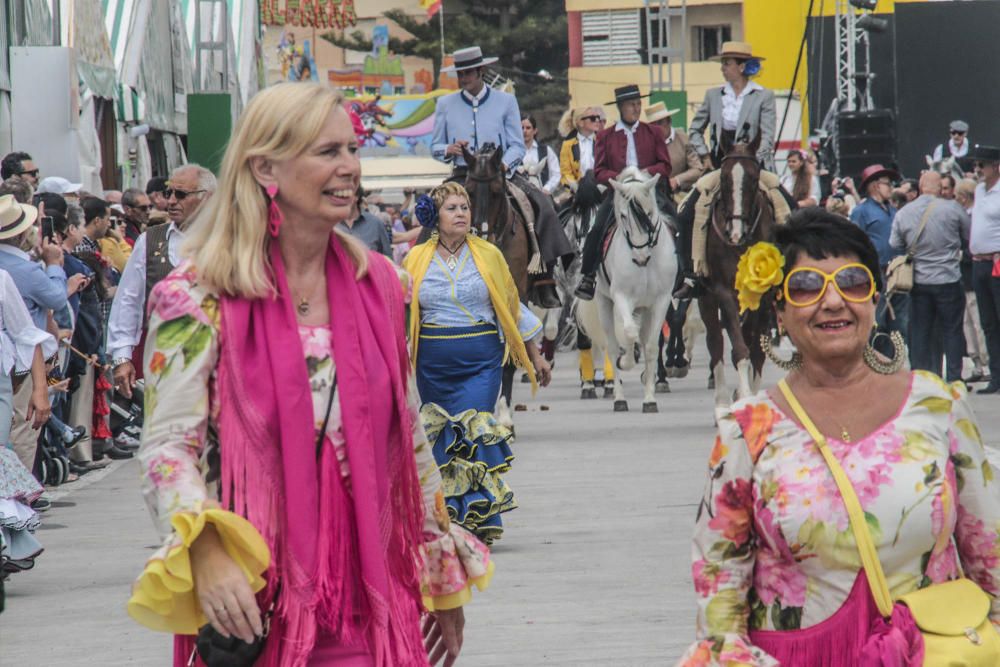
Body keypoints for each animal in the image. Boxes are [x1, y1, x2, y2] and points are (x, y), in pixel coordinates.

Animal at [592, 168, 680, 412]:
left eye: (649, 214)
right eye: (623, 216)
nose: (640, 257)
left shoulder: (661, 300)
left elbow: (650, 346)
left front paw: (650, 399)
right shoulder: (621, 296)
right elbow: (629, 333)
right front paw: (626, 362)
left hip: (644, 307)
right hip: (604, 302)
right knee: (613, 346)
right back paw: (619, 397)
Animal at [700, 134, 776, 408]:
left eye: (753, 178)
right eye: (723, 178)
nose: (735, 233)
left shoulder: (763, 298)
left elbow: (756, 350)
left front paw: (751, 396)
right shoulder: (724, 292)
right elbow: (739, 348)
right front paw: (742, 395)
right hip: (706, 299)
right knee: (715, 342)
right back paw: (722, 401)